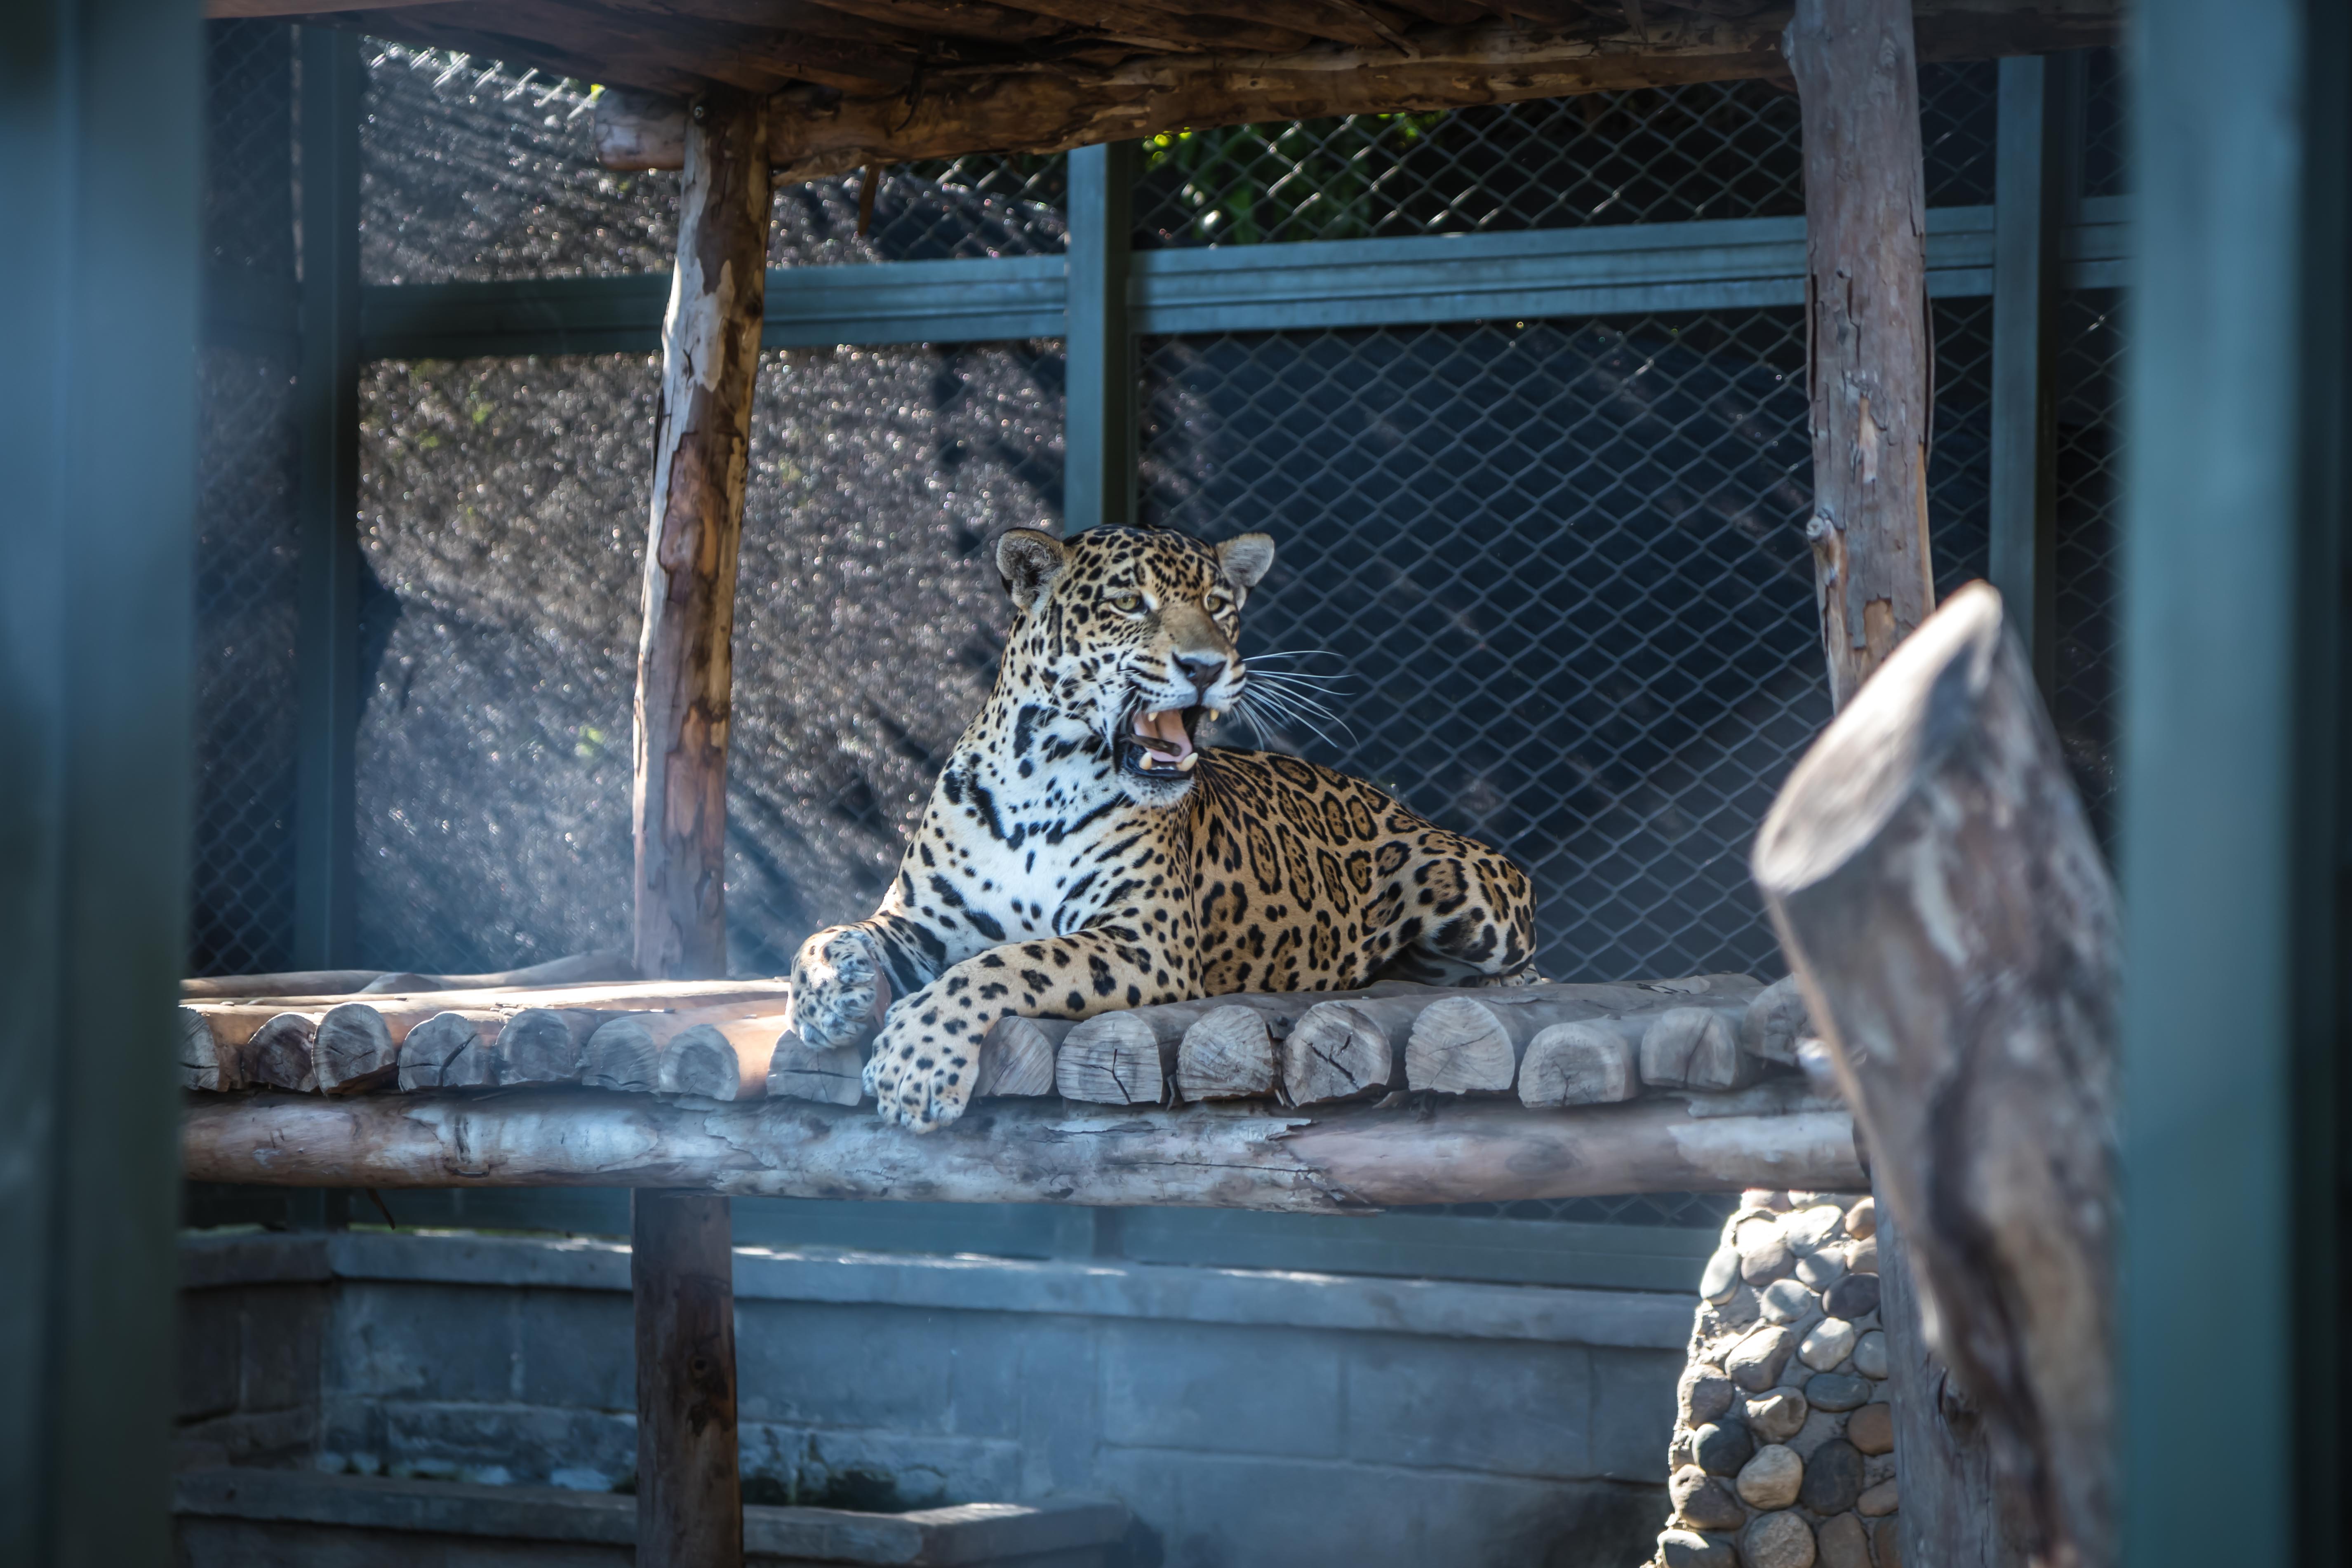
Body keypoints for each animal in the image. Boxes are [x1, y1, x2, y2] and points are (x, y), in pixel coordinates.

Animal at [783, 524, 1538, 1131]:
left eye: (1219, 606)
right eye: (1128, 604)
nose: (1205, 667)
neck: (1039, 779)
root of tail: (1392, 798)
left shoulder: (1145, 939)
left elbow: (1005, 963)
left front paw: (913, 1062)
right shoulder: (924, 920)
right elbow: (828, 933)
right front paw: (827, 995)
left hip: (1467, 885)